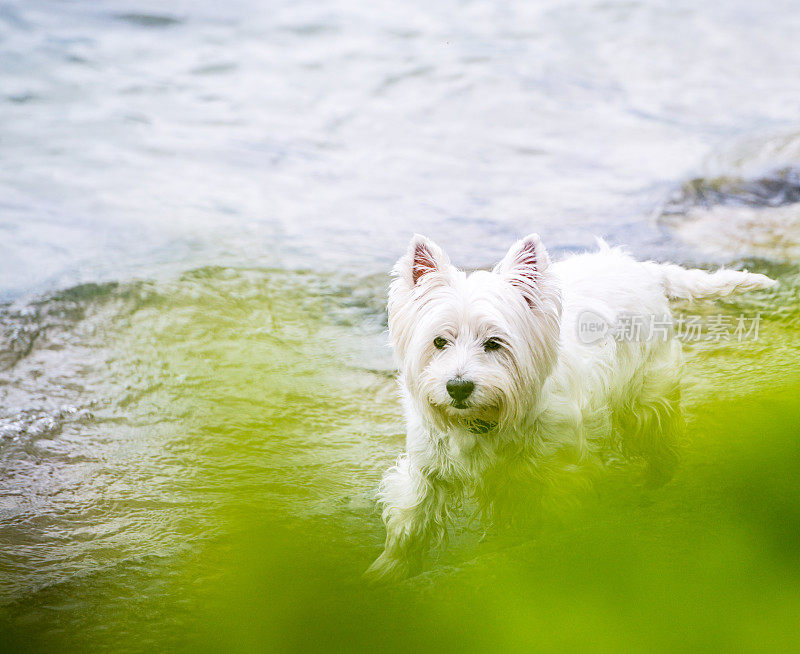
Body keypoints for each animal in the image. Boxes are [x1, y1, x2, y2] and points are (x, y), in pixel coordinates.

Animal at [366, 233, 772, 580]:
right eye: (438, 342)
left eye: (494, 343)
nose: (458, 387)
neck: (486, 422)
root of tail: (641, 268)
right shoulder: (428, 468)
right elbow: (411, 518)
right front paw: (388, 569)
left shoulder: (558, 474)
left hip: (646, 396)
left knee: (661, 436)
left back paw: (660, 481)